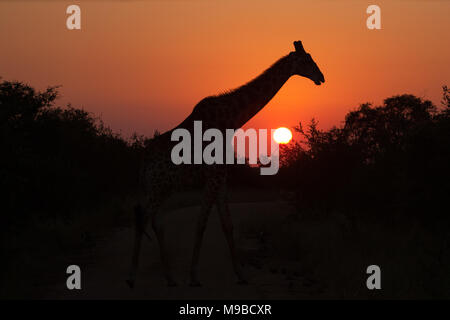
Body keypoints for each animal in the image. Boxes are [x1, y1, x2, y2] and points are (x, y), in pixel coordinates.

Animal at [125, 40, 324, 288]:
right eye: (307, 60)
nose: (321, 77)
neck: (233, 119)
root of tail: (142, 164)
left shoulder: (222, 177)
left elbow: (226, 224)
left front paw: (241, 275)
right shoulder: (215, 175)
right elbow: (202, 223)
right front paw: (194, 276)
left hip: (162, 187)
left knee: (156, 220)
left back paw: (170, 278)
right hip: (159, 186)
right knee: (143, 217)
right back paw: (131, 278)